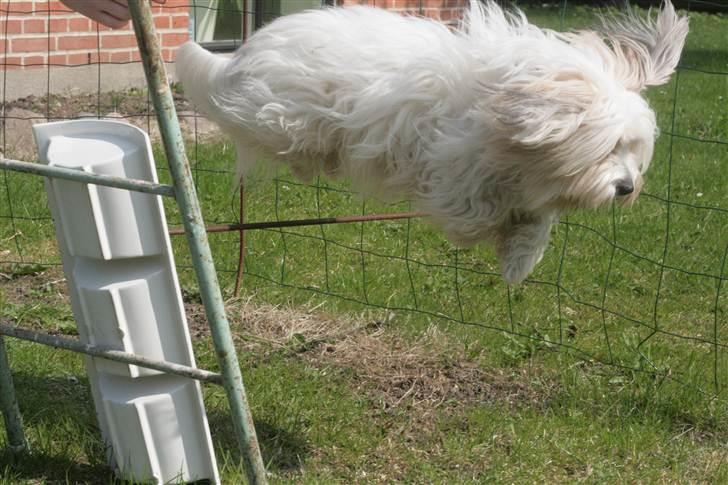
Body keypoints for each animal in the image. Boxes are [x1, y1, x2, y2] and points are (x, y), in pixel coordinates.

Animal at [178, 0, 688, 284]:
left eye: (633, 153)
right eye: (608, 148)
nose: (626, 188)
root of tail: (244, 53)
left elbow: (539, 217)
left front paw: (519, 258)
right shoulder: (452, 166)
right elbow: (474, 209)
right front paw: (491, 230)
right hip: (276, 114)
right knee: (247, 118)